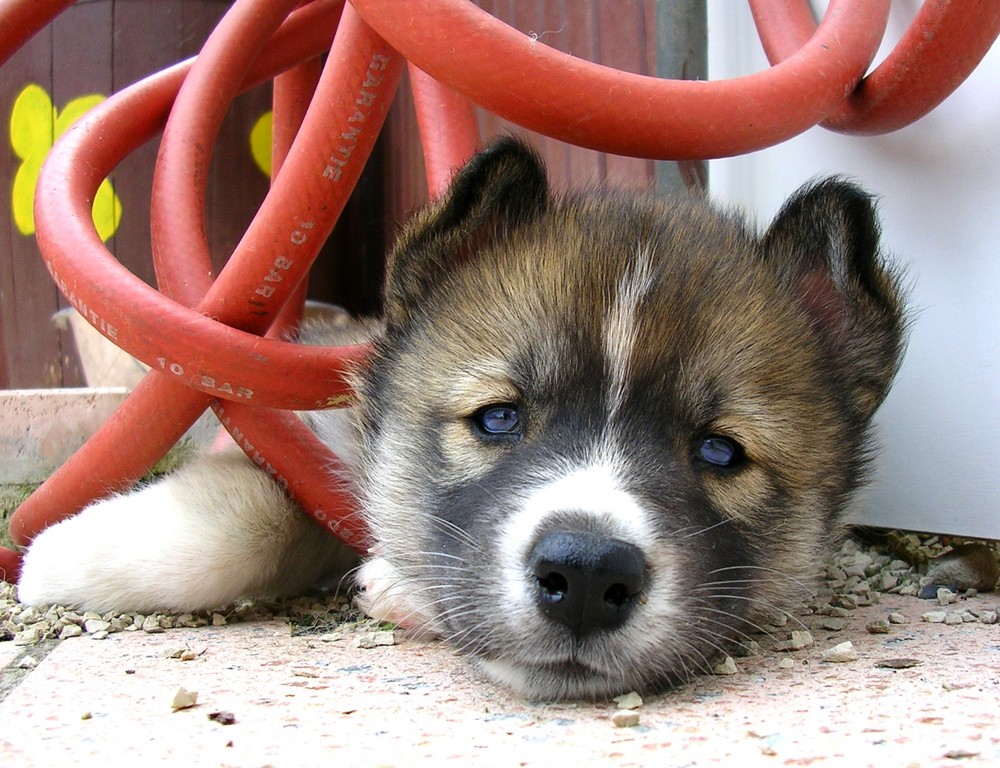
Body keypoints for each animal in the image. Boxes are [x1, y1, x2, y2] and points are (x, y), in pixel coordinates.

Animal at [15, 140, 908, 704]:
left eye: (720, 452)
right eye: (499, 418)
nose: (588, 576)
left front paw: (397, 587)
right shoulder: (300, 417)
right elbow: (243, 519)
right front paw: (65, 556)